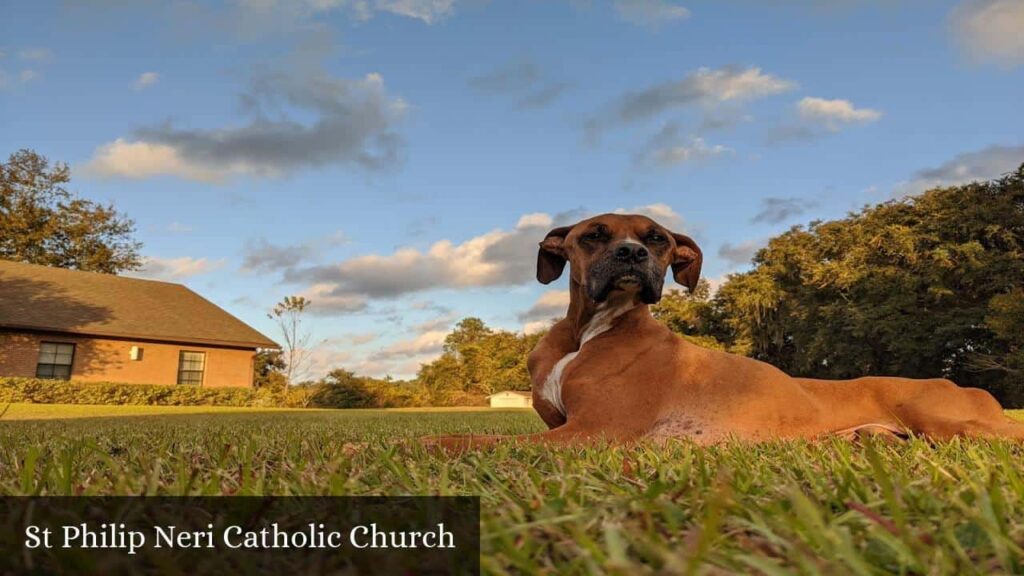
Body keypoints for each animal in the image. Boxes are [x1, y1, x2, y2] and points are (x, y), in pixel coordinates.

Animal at [425, 212, 1024, 448]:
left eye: (658, 238)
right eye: (593, 234)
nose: (633, 254)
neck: (588, 330)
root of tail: (963, 383)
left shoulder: (594, 432)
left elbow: (470, 439)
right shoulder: (566, 427)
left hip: (948, 422)